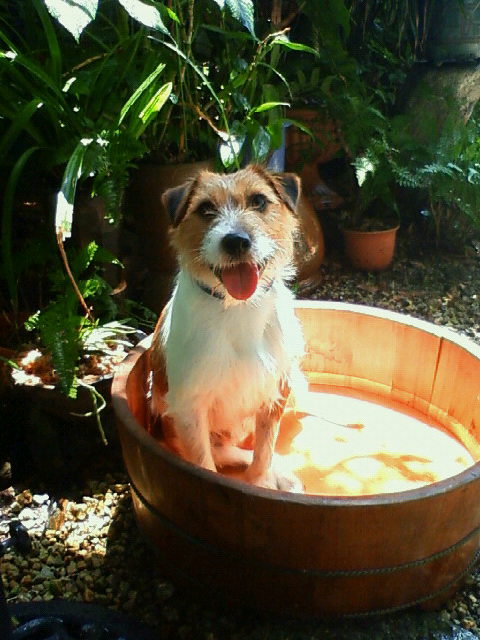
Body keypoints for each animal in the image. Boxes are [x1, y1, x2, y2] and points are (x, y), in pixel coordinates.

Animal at [148, 164, 306, 491]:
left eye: (259, 201)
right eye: (205, 209)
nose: (236, 241)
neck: (238, 309)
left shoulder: (275, 390)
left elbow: (264, 449)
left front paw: (260, 483)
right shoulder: (189, 409)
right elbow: (205, 467)